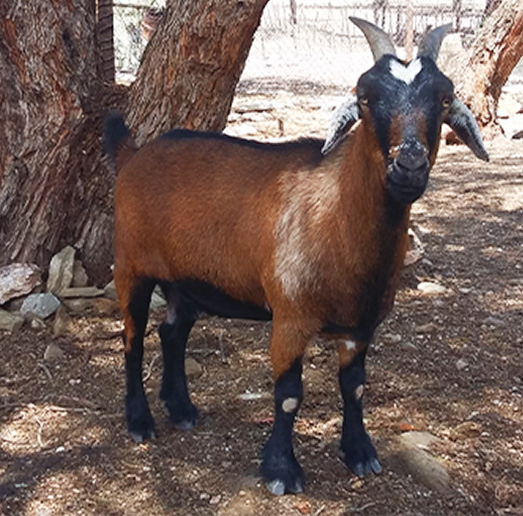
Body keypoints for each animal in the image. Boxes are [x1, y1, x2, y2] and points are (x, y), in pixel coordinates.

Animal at [104, 19, 490, 496]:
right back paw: (140, 421)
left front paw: (360, 453)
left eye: (444, 97)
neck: (336, 219)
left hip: (187, 282)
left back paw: (182, 409)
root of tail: (133, 155)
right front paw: (281, 470)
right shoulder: (290, 318)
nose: (410, 166)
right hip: (131, 266)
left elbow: (355, 388)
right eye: (366, 97)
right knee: (133, 339)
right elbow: (288, 394)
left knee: (171, 333)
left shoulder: (359, 326)